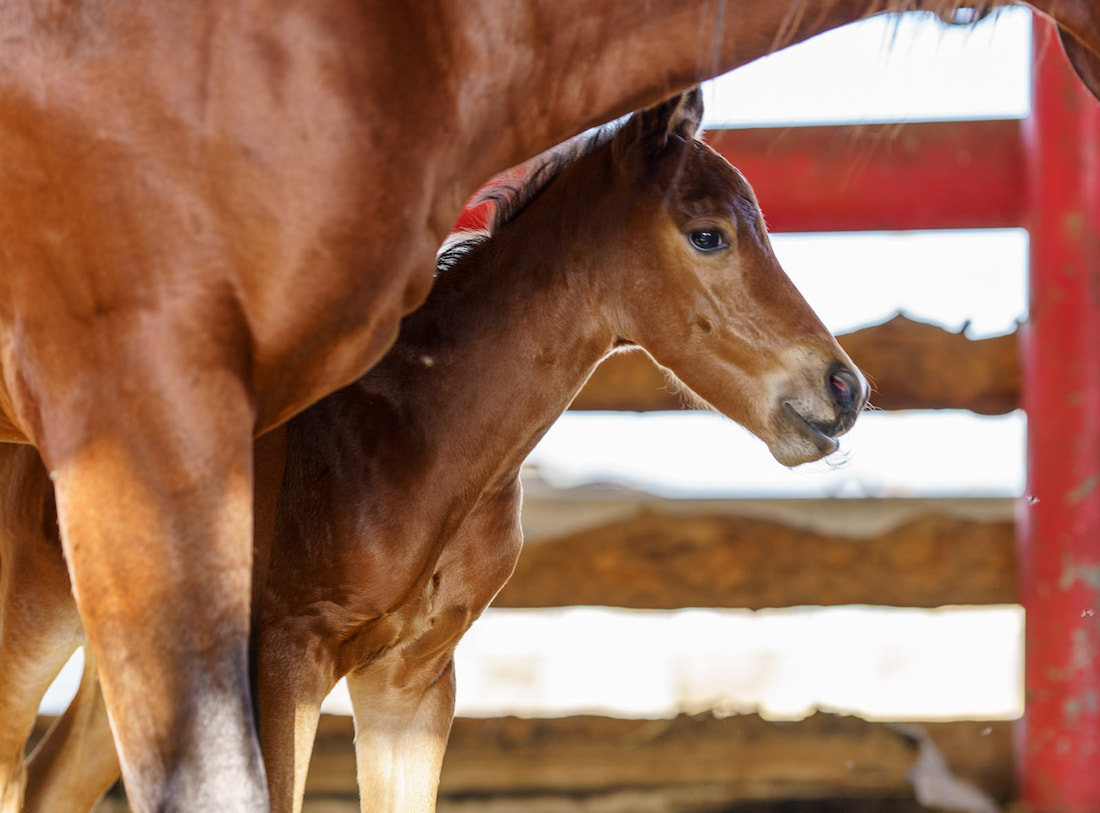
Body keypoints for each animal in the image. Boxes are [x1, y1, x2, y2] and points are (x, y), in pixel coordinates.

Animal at [0, 3, 1095, 809]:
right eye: (706, 232)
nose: (842, 389)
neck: (407, 437)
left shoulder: (415, 686)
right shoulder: (285, 656)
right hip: (41, 612)